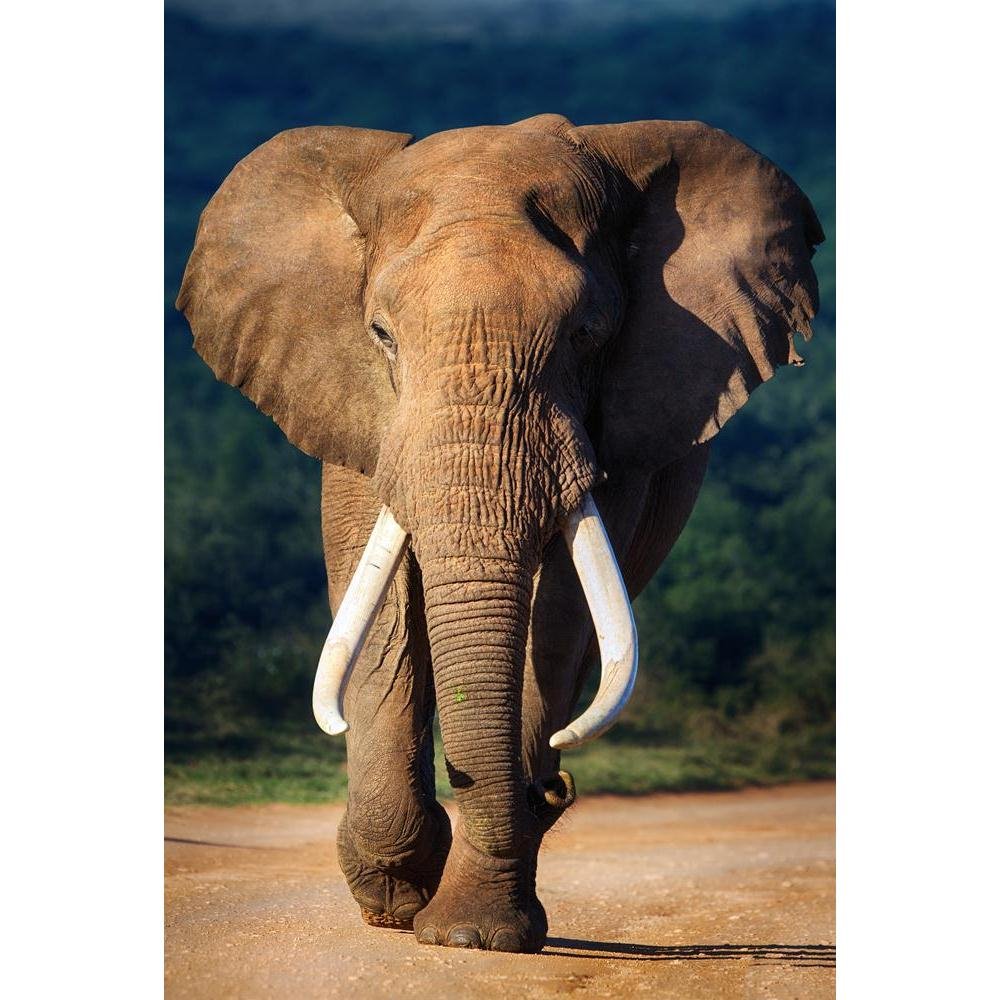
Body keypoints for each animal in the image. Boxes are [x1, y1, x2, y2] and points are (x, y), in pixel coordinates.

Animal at [176, 113, 823, 954]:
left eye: (586, 334)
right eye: (381, 333)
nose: (553, 789)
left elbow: (559, 616)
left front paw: (471, 935)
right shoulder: (351, 401)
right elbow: (379, 602)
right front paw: (398, 895)